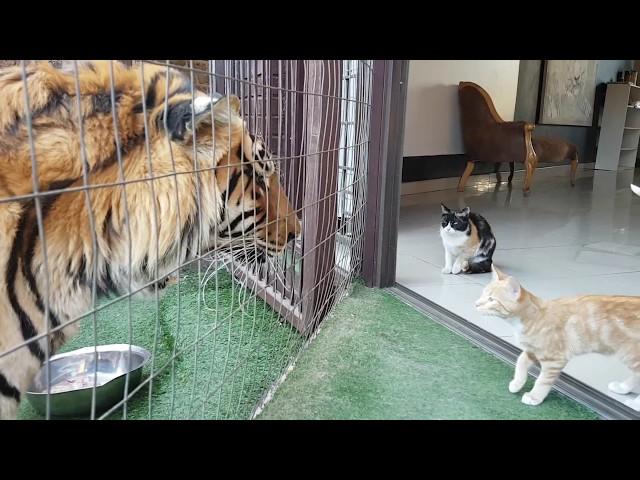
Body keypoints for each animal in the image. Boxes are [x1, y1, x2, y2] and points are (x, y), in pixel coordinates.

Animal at [476, 264, 640, 410]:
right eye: (483, 293)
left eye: (491, 299)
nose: (476, 304)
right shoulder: (532, 350)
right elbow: (521, 361)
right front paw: (517, 383)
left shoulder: (554, 359)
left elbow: (542, 381)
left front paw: (534, 396)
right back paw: (623, 388)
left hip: (630, 354)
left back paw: (635, 403)